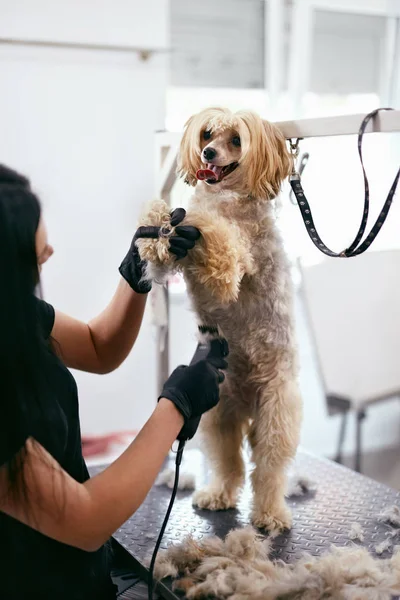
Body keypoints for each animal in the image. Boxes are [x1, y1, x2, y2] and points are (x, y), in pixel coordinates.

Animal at [138, 108, 304, 528]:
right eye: (208, 134)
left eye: (237, 140)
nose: (209, 154)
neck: (226, 197)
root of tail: (246, 401)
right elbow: (165, 229)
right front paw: (156, 229)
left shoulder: (230, 263)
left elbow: (213, 234)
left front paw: (190, 221)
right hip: (217, 414)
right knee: (231, 464)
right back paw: (217, 495)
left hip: (275, 414)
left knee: (268, 470)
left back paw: (270, 514)